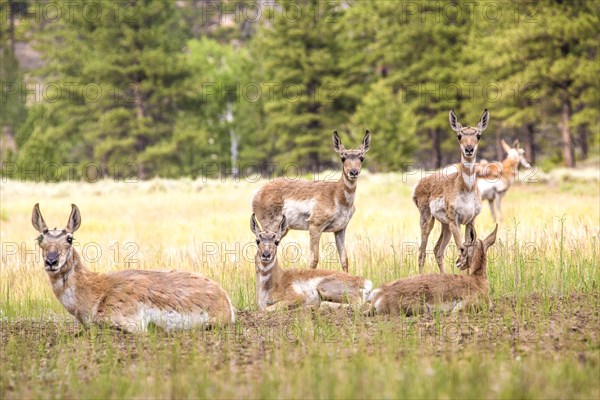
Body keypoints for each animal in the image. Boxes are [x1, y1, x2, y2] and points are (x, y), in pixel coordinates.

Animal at [32, 203, 234, 332]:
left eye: (70, 238)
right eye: (40, 238)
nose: (51, 261)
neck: (95, 292)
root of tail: (224, 297)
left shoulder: (127, 322)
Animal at [250, 131, 370, 272]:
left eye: (361, 157)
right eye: (342, 157)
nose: (353, 172)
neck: (336, 194)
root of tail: (258, 191)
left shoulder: (340, 229)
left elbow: (344, 259)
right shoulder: (315, 227)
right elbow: (314, 259)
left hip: (282, 230)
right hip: (270, 228)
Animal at [414, 109, 490, 274]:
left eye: (478, 135)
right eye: (459, 135)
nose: (469, 149)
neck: (467, 190)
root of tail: (419, 184)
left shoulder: (470, 221)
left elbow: (468, 250)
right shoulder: (456, 221)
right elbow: (461, 250)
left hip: (445, 225)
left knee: (437, 250)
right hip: (428, 221)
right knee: (422, 252)